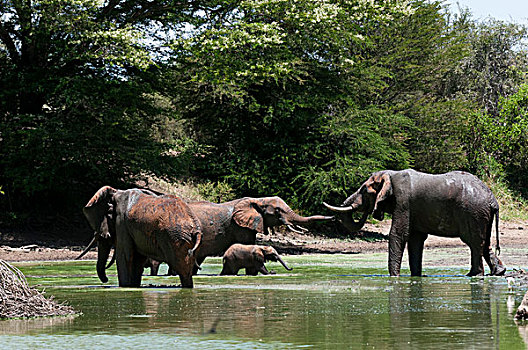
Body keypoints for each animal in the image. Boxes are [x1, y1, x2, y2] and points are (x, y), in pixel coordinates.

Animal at [324, 168, 506, 278]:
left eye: (364, 190)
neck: (390, 175)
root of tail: (493, 201)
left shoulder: (403, 202)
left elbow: (398, 234)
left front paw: (394, 277)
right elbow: (415, 239)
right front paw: (416, 276)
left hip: (472, 213)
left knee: (473, 242)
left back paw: (473, 275)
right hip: (481, 215)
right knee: (484, 242)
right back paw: (498, 272)